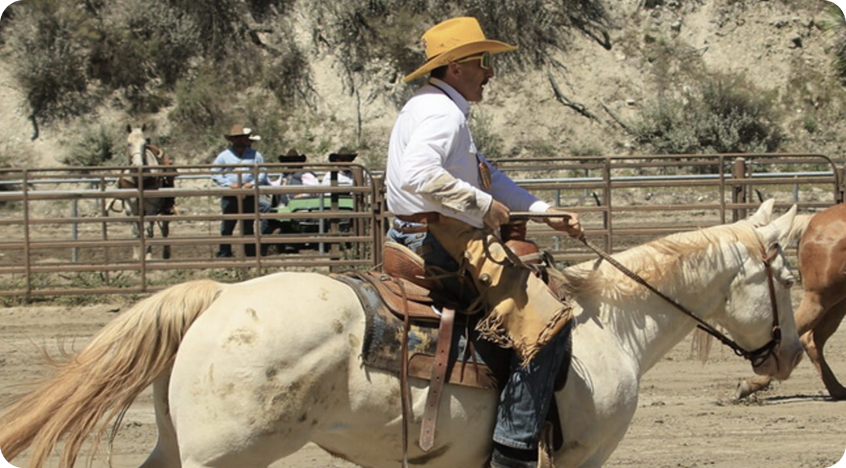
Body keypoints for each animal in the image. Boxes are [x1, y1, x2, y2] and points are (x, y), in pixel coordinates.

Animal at [0, 202, 805, 468]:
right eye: (788, 278)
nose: (792, 354)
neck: (612, 327)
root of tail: (215, 299)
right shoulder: (581, 456)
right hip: (221, 458)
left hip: (179, 448)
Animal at [117, 124, 177, 260]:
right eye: (129, 143)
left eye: (144, 144)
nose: (138, 164)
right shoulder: (131, 208)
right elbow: (136, 232)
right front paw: (136, 256)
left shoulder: (151, 209)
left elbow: (149, 231)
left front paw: (148, 256)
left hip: (165, 209)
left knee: (164, 229)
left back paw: (166, 254)